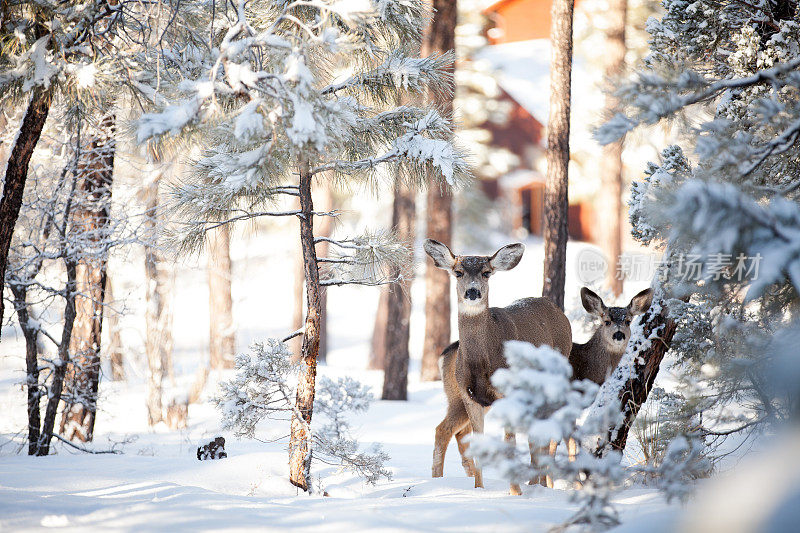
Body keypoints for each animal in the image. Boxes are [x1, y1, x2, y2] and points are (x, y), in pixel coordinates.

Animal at [424, 238, 576, 494]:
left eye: (486, 273)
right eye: (458, 272)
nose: (472, 291)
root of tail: (556, 310)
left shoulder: (508, 394)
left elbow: (510, 442)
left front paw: (515, 492)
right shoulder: (470, 396)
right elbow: (479, 441)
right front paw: (479, 488)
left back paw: (541, 484)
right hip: (458, 398)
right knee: (446, 429)